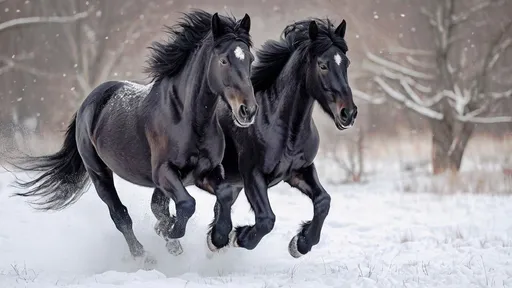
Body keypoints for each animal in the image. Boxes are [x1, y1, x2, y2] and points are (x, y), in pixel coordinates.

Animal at [13, 10, 256, 264]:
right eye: (224, 60)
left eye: (250, 59)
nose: (247, 111)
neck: (188, 119)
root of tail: (90, 100)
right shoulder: (164, 173)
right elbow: (187, 204)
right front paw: (171, 232)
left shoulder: (206, 172)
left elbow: (224, 194)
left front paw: (217, 238)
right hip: (98, 173)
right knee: (120, 214)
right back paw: (144, 256)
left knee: (155, 207)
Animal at [200, 18, 356, 256]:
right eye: (322, 65)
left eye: (345, 63)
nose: (348, 113)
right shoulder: (252, 174)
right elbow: (266, 219)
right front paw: (241, 236)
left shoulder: (299, 171)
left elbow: (323, 201)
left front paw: (301, 243)